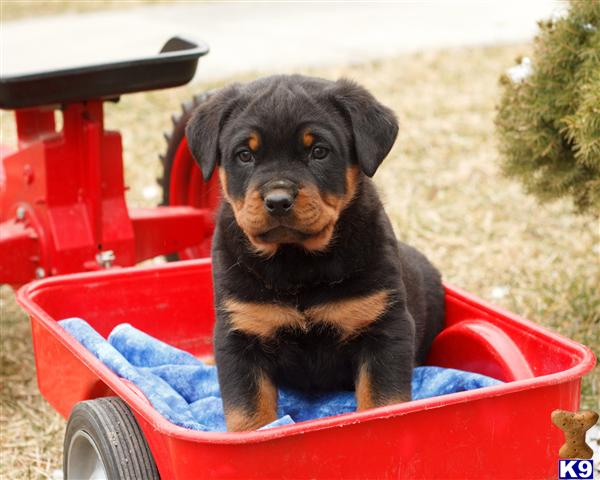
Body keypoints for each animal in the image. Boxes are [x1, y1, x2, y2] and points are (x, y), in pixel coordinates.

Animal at [186, 74, 446, 432]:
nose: (278, 200)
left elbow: (382, 400)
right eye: (245, 155)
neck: (296, 262)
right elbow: (249, 412)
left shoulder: (385, 327)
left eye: (319, 151)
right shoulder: (240, 333)